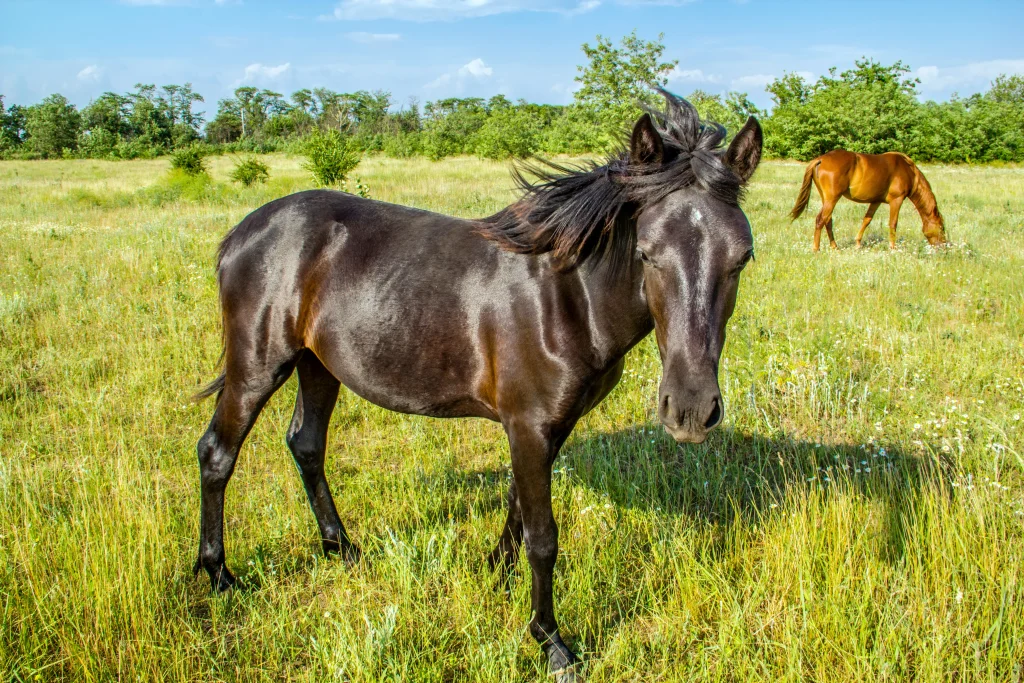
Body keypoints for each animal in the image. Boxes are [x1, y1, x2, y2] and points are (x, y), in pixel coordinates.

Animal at [195, 90, 765, 679]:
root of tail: (244, 231)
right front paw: (551, 642)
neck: (567, 298)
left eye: (742, 257)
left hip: (317, 364)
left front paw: (497, 575)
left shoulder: (545, 427)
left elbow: (517, 509)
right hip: (258, 366)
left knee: (306, 445)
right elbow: (544, 537)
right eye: (647, 253)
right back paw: (220, 575)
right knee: (217, 453)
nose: (691, 409)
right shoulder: (529, 425)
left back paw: (342, 549)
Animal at [790, 149, 942, 250]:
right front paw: (893, 247)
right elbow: (893, 223)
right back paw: (816, 249)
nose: (944, 247)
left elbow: (867, 220)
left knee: (827, 220)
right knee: (820, 219)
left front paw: (857, 243)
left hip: (826, 198)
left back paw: (834, 247)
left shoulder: (876, 201)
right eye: (942, 228)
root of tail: (820, 160)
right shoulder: (897, 200)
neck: (908, 171)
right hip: (832, 199)